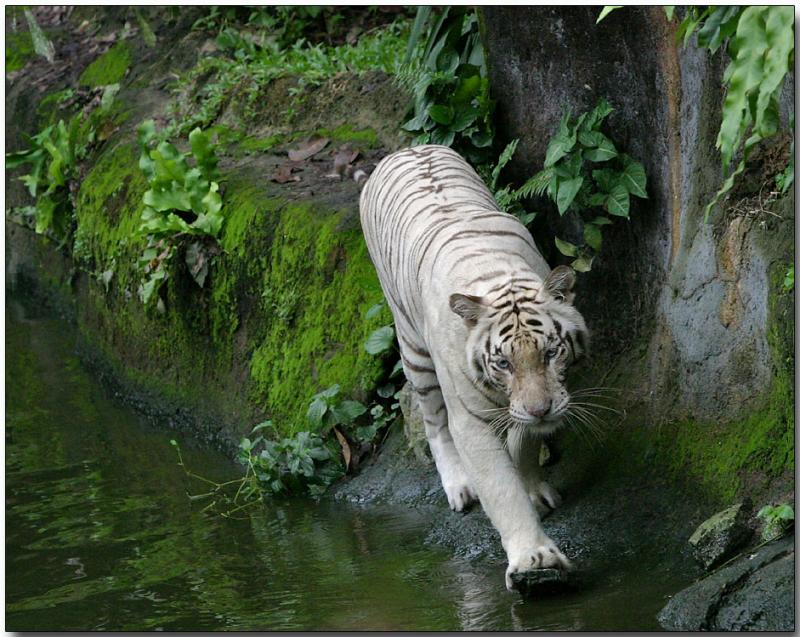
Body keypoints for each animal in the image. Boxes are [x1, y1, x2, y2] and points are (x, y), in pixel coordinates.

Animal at [360, 145, 588, 592]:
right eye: (502, 363)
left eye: (551, 352)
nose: (542, 410)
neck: (499, 277)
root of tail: (406, 148)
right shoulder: (471, 420)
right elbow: (500, 487)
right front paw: (534, 558)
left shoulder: (525, 409)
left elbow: (524, 445)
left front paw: (533, 489)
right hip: (413, 350)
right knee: (432, 421)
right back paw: (460, 487)